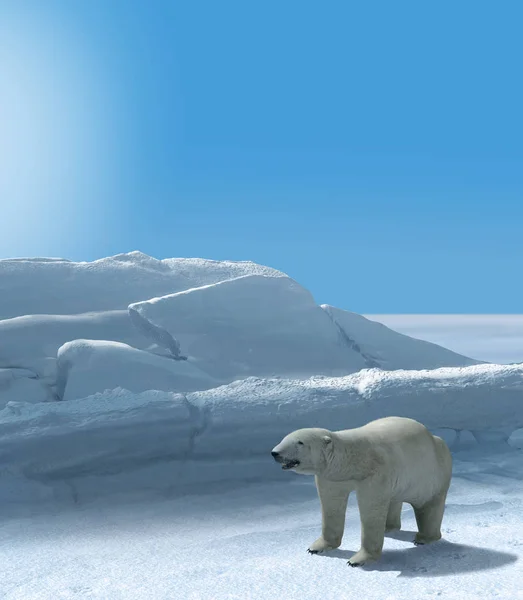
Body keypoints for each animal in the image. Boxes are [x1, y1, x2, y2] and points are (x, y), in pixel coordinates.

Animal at [272, 418, 452, 568]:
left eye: (300, 442)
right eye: (285, 438)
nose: (275, 453)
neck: (352, 461)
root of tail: (434, 437)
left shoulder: (374, 475)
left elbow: (370, 513)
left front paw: (357, 560)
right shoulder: (332, 478)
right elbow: (331, 507)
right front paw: (316, 547)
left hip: (430, 474)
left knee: (429, 506)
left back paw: (423, 538)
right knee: (393, 500)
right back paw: (389, 528)